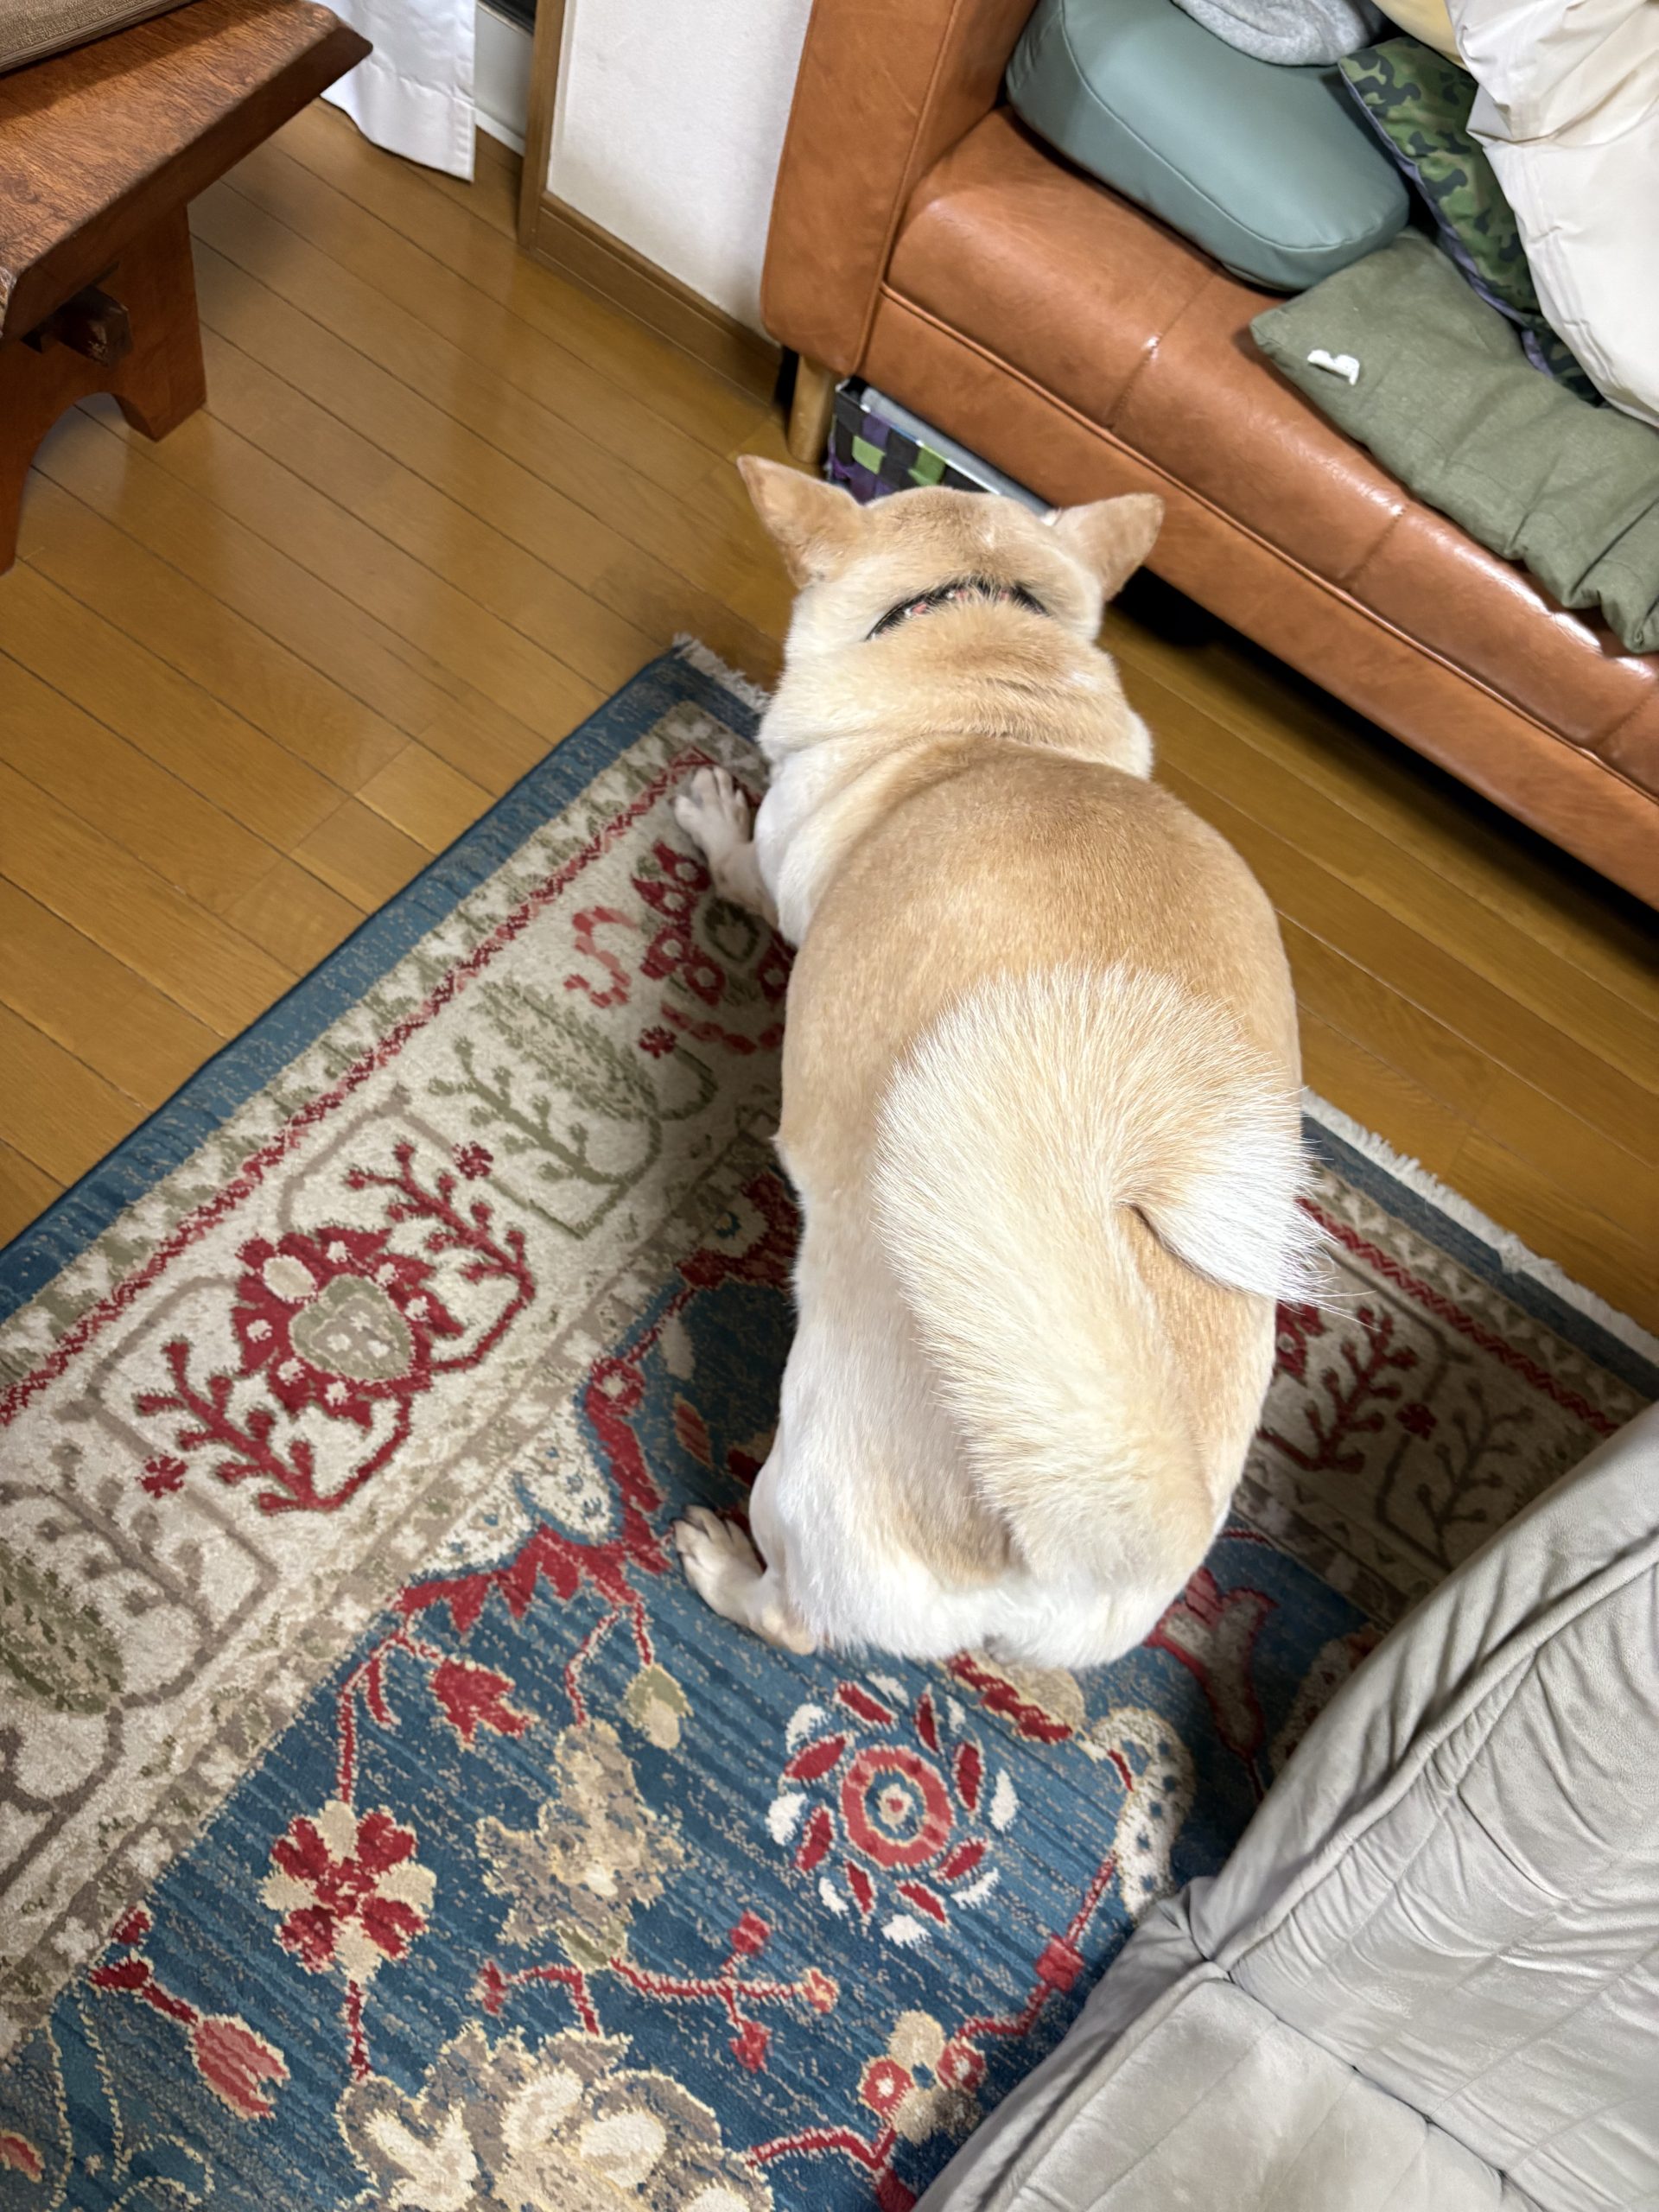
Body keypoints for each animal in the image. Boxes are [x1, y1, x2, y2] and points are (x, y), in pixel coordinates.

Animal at [670, 459, 1316, 1670]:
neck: (998, 710)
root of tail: (1077, 1548)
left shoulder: (783, 876)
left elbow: (746, 868)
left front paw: (711, 815)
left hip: (810, 1479)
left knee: (794, 1617)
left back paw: (719, 1562)